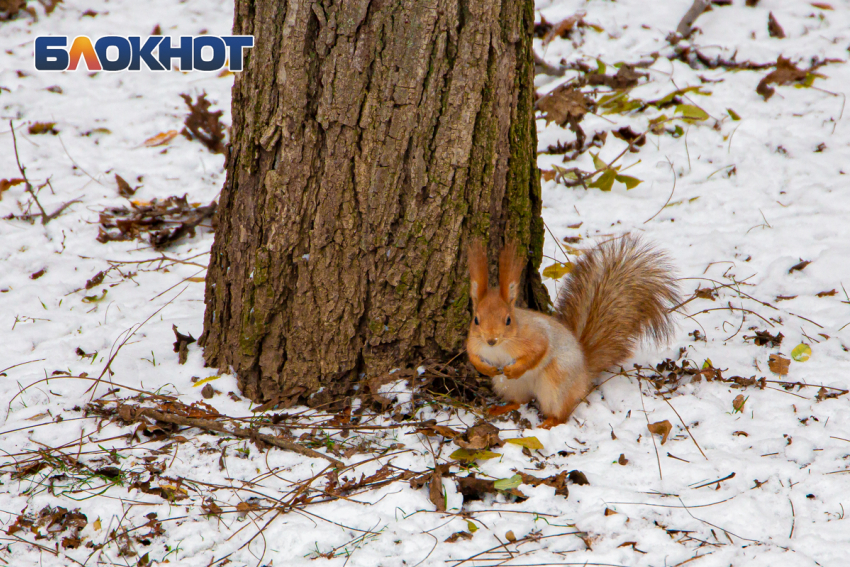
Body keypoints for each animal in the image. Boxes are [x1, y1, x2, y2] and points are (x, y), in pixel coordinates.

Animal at [468, 233, 680, 428]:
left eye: (508, 320)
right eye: (476, 319)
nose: (491, 340)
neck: (498, 349)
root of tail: (585, 374)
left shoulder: (535, 336)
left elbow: (538, 352)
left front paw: (515, 369)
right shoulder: (472, 343)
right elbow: (472, 357)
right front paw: (485, 368)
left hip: (556, 383)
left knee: (561, 413)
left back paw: (548, 422)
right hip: (512, 387)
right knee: (520, 401)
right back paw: (500, 407)